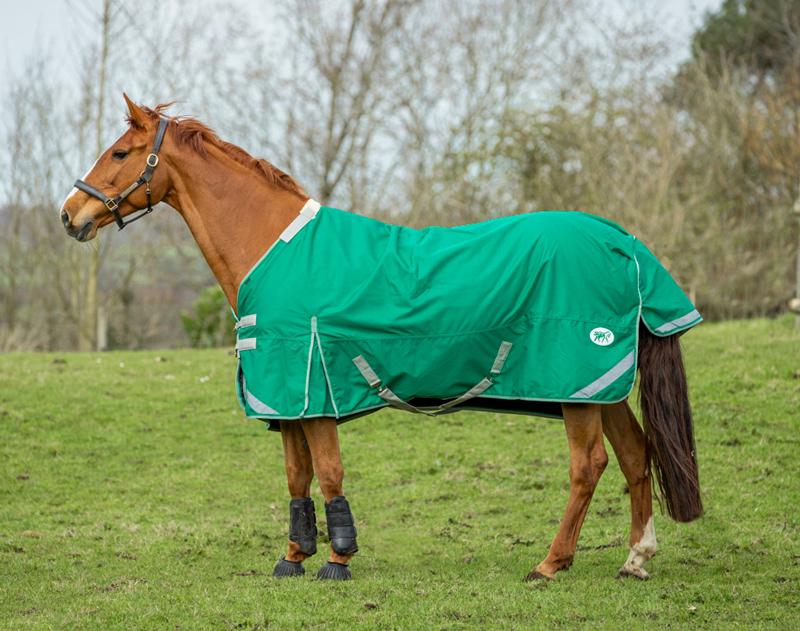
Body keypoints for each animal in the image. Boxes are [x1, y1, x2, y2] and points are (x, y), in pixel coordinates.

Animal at [60, 95, 702, 582]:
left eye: (120, 153)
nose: (69, 215)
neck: (273, 248)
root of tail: (621, 241)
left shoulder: (313, 388)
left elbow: (329, 472)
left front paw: (338, 561)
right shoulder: (287, 400)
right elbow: (297, 477)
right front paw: (293, 558)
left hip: (576, 387)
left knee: (588, 465)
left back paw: (551, 563)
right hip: (600, 387)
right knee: (635, 456)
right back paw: (635, 559)